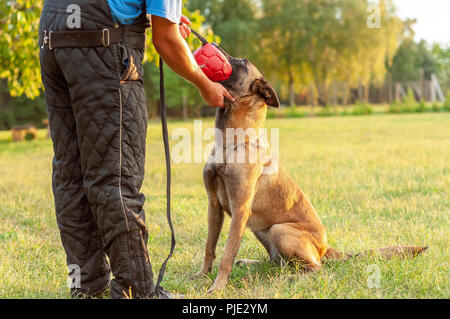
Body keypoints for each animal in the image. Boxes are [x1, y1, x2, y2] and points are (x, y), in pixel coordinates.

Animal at [191, 55, 428, 296]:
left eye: (243, 61)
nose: (215, 50)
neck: (231, 143)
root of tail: (325, 247)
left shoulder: (240, 211)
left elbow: (227, 255)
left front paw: (217, 287)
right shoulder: (214, 206)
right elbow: (210, 247)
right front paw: (203, 275)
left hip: (279, 230)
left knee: (315, 268)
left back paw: (292, 278)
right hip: (261, 230)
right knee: (278, 262)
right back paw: (252, 263)